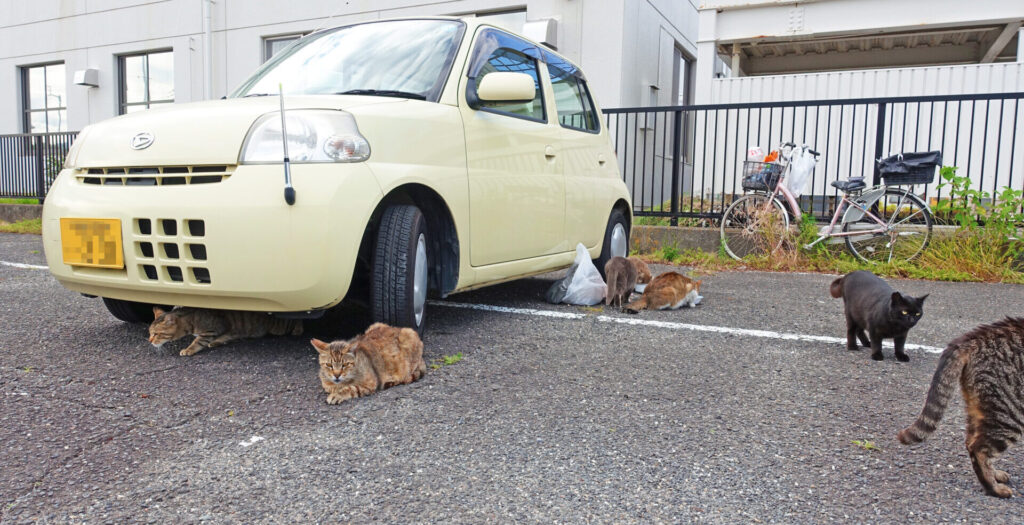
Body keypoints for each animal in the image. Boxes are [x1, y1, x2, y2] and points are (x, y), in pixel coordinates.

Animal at [147, 304, 303, 354]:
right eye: (150, 333)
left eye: (156, 334)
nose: (149, 340)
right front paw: (218, 341)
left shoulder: (212, 329)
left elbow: (198, 341)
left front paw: (189, 349)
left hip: (279, 327)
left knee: (295, 321)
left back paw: (298, 329)